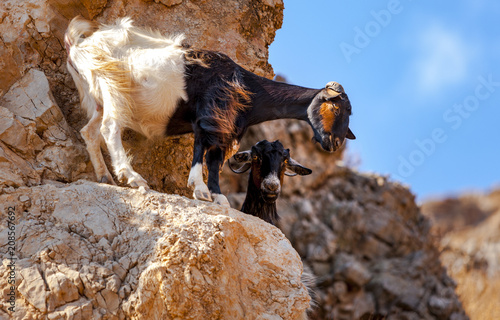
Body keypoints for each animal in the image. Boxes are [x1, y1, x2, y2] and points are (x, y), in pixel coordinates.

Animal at [65, 17, 356, 208]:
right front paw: (200, 189)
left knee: (89, 131)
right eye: (338, 106)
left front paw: (218, 196)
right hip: (112, 86)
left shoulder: (229, 128)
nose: (334, 143)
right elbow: (201, 150)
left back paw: (104, 176)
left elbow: (215, 160)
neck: (248, 88)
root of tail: (77, 46)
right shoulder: (209, 117)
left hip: (96, 97)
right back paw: (132, 177)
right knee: (110, 129)